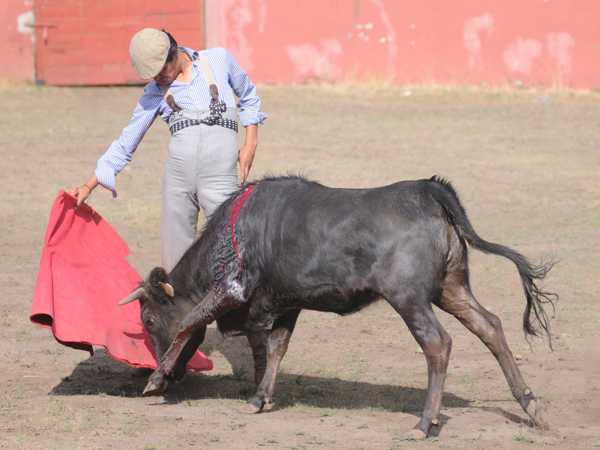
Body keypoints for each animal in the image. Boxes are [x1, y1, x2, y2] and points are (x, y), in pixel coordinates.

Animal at [119, 176, 556, 440]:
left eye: (149, 320)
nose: (174, 376)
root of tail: (429, 190)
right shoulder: (288, 302)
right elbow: (277, 347)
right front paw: (260, 399)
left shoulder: (231, 290)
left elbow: (190, 321)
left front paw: (154, 379)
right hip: (450, 288)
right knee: (490, 326)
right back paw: (530, 404)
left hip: (409, 298)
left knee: (438, 344)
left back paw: (423, 423)